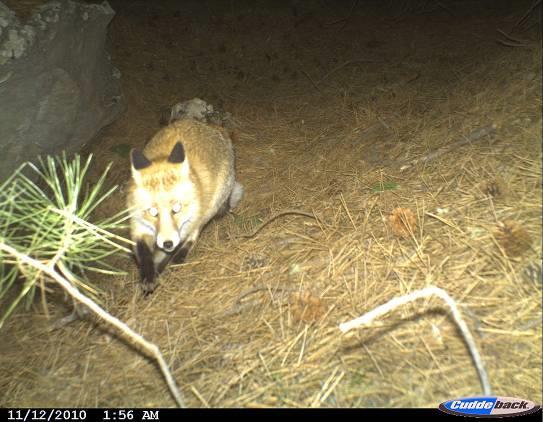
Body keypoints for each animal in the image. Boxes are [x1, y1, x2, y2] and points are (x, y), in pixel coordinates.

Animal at [127, 118, 242, 294]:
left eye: (177, 209)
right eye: (152, 212)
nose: (167, 243)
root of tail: (214, 127)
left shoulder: (184, 228)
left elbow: (172, 250)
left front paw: (160, 269)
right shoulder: (138, 225)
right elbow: (144, 254)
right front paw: (148, 277)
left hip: (209, 209)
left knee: (195, 233)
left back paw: (179, 256)